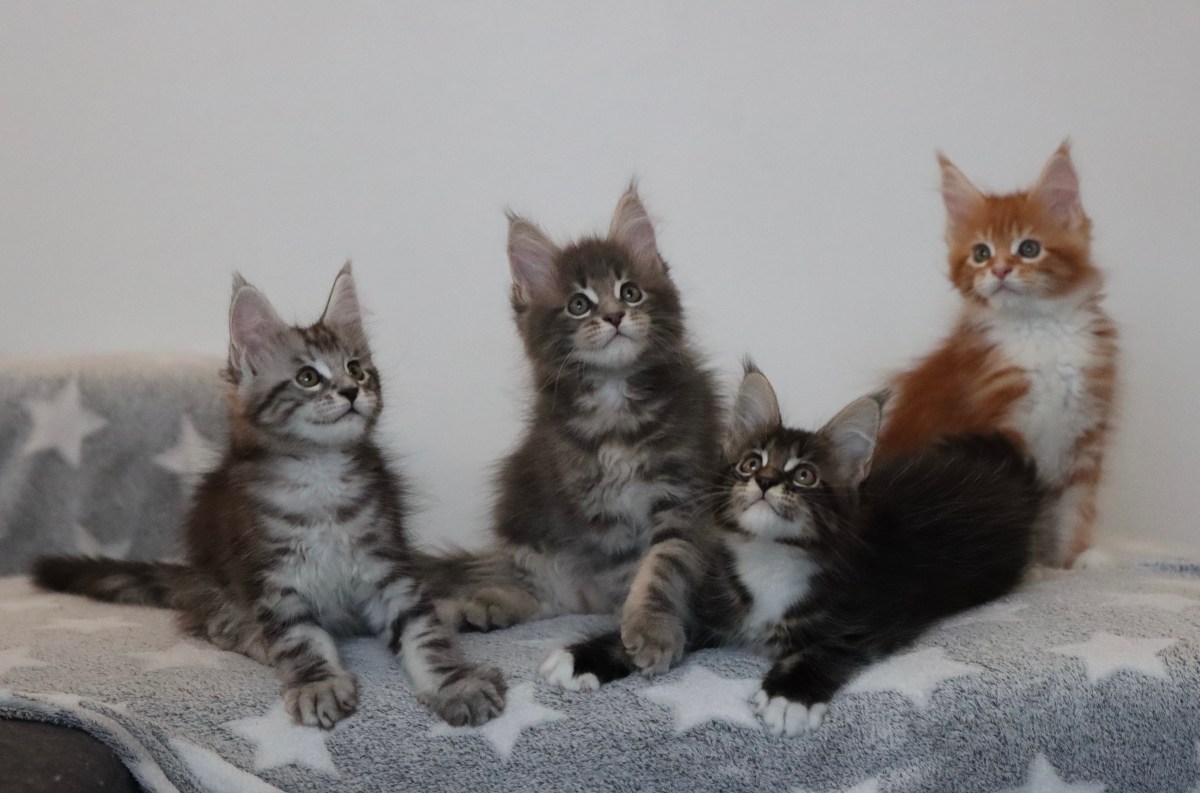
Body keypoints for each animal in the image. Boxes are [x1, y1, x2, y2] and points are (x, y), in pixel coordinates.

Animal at [34, 264, 506, 729]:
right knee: (217, 625)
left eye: (356, 368)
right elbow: (300, 639)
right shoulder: (274, 577)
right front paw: (318, 684)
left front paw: (457, 684)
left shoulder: (387, 566)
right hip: (218, 589)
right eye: (308, 378)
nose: (352, 391)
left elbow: (424, 635)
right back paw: (258, 641)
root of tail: (191, 577)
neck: (320, 473)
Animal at [422, 185, 721, 676]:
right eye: (579, 304)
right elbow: (629, 569)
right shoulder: (595, 507)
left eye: (630, 292)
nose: (616, 316)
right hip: (533, 536)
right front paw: (633, 626)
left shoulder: (682, 493)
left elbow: (663, 564)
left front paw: (650, 627)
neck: (615, 405)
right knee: (544, 593)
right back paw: (482, 606)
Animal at [541, 365, 1041, 736]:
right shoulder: (717, 604)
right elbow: (668, 624)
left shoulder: (878, 613)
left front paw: (788, 696)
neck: (771, 561)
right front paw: (583, 657)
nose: (765, 481)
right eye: (751, 463)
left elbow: (824, 648)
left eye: (804, 476)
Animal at [876, 142, 1117, 568]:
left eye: (1029, 249)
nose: (1001, 270)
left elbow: (1075, 510)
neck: (1040, 331)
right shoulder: (1000, 424)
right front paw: (1033, 569)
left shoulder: (1084, 436)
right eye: (980, 253)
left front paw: (1072, 562)